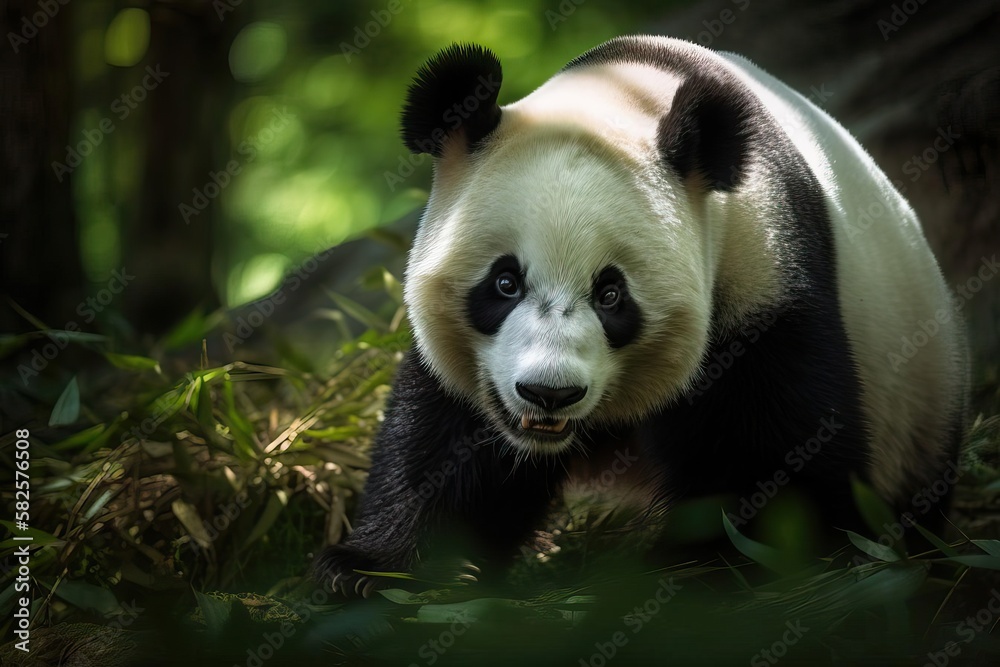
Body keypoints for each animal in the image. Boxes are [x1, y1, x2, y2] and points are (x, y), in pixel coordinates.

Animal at [317, 36, 968, 596]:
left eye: (611, 295)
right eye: (504, 282)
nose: (549, 394)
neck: (629, 88)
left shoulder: (767, 282)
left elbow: (776, 460)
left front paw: (694, 568)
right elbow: (447, 445)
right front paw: (372, 569)